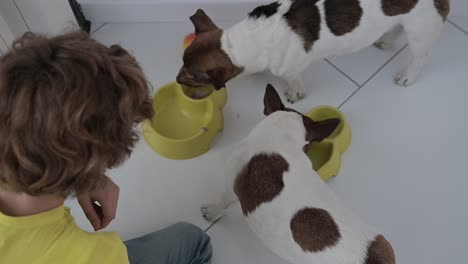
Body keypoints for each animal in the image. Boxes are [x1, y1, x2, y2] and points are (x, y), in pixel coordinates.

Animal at [176, 0, 450, 102]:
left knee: (420, 56)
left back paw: (408, 75)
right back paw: (385, 40)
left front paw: (293, 92)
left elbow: (293, 81)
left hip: (420, 31)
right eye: (182, 63)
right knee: (396, 28)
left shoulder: (290, 69)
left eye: (191, 76)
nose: (176, 80)